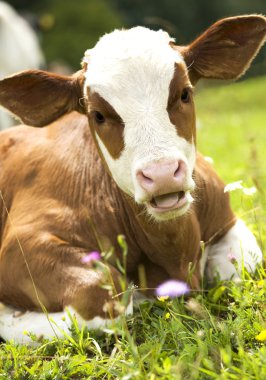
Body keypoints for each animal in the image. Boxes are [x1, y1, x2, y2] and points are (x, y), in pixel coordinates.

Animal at [0, 14, 264, 342]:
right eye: (98, 115)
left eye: (185, 93)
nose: (162, 173)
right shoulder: (20, 245)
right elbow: (105, 299)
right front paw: (9, 314)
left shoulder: (226, 218)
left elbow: (239, 265)